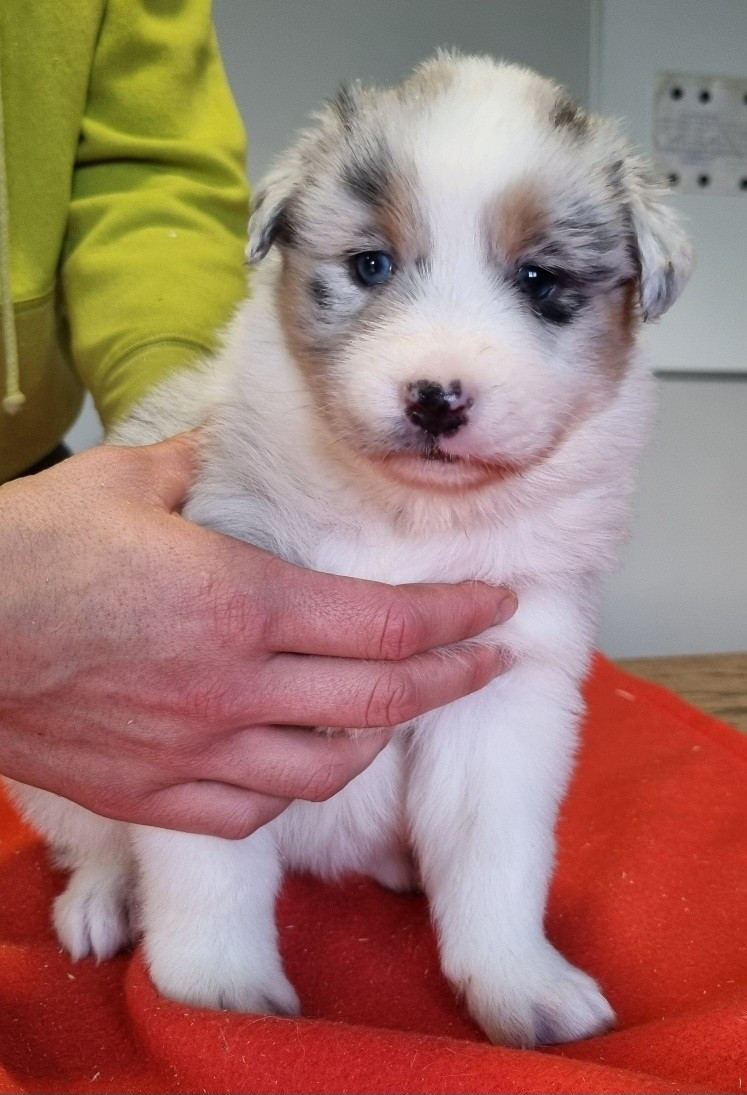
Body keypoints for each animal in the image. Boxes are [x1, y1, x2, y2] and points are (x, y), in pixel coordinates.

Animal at [7, 53, 691, 1047]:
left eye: (538, 279)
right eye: (371, 264)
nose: (435, 397)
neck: (405, 520)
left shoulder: (509, 689)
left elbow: (496, 860)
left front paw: (520, 985)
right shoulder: (211, 711)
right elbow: (210, 871)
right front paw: (218, 997)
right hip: (69, 774)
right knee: (94, 839)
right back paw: (102, 901)